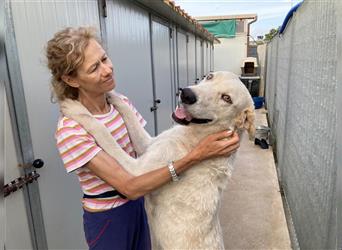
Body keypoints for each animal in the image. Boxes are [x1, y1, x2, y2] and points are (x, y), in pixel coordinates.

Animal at [60, 71, 254, 250]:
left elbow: (103, 133)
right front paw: (112, 93)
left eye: (226, 98)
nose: (187, 94)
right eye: (210, 76)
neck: (197, 137)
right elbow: (128, 114)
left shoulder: (136, 171)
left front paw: (76, 109)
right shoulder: (148, 144)